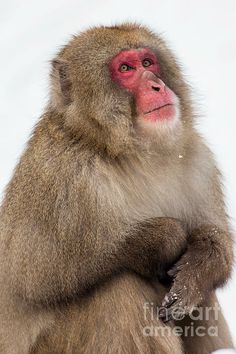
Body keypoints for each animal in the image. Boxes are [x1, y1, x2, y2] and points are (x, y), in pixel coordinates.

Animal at [0, 23, 233, 352]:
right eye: (125, 69)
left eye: (148, 62)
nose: (157, 86)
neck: (131, 154)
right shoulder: (62, 178)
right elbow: (32, 279)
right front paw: (166, 237)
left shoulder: (200, 162)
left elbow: (215, 240)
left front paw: (198, 270)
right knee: (120, 286)